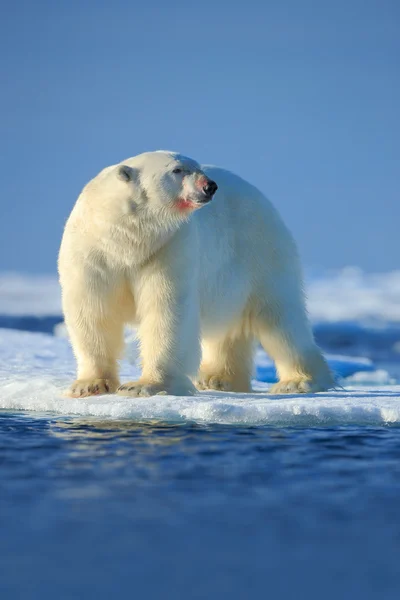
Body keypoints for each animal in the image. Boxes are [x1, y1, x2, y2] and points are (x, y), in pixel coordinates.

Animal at [57, 150, 332, 396]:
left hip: (261, 252)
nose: (210, 186)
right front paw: (89, 385)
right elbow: (92, 310)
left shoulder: (169, 246)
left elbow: (166, 310)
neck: (128, 239)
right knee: (230, 327)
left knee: (280, 318)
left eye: (198, 166)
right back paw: (218, 378)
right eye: (177, 170)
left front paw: (144, 386)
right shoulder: (93, 253)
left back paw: (297, 381)